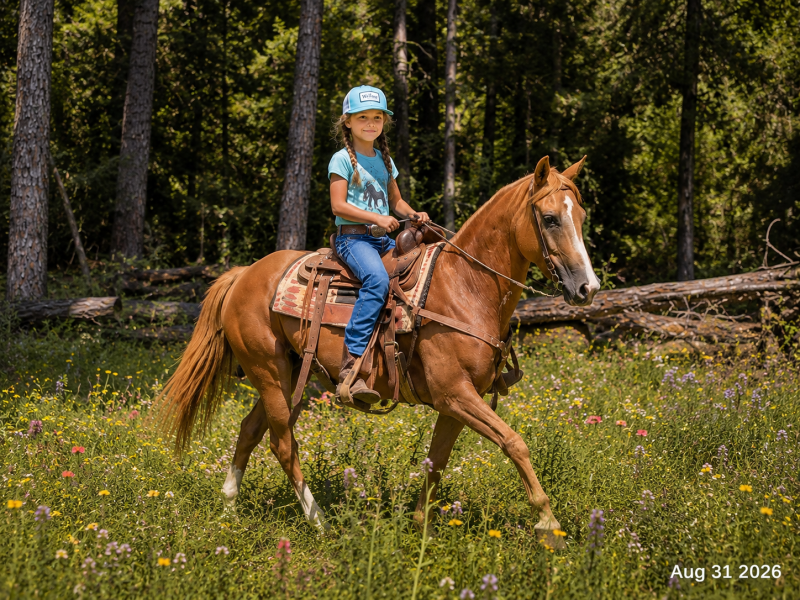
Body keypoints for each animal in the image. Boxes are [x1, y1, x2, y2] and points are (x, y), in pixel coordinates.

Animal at [155, 155, 600, 546]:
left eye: (580, 216)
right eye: (550, 219)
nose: (588, 288)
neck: (465, 286)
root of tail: (243, 274)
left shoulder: (455, 402)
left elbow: (436, 462)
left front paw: (422, 527)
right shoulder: (455, 395)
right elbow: (514, 442)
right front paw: (548, 525)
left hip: (290, 376)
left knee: (249, 431)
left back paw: (229, 509)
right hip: (270, 374)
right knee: (283, 445)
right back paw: (320, 523)